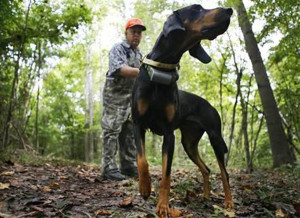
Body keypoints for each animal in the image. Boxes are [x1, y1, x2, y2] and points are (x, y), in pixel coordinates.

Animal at [132, 3, 234, 216]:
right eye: (196, 8)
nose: (229, 9)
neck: (162, 69)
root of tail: (209, 105)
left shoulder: (169, 134)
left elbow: (166, 174)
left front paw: (163, 207)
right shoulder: (137, 124)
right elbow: (142, 160)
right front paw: (145, 188)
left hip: (215, 137)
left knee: (224, 172)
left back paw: (229, 202)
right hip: (189, 143)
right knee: (206, 169)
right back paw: (205, 195)